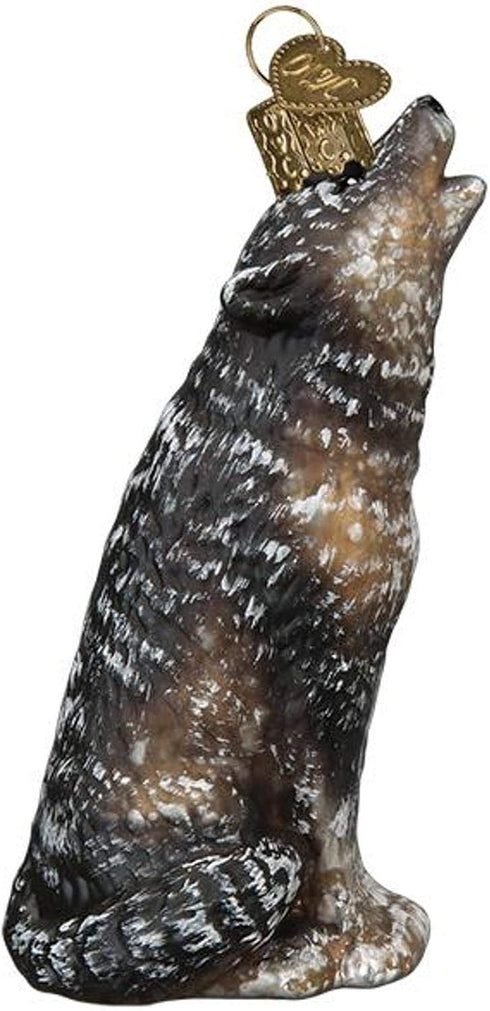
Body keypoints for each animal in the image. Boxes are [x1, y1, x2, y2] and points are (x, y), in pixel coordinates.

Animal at [4, 97, 485, 1002]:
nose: (431, 101)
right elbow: (330, 829)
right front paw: (359, 935)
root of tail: (31, 894)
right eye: (349, 178)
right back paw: (276, 960)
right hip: (221, 820)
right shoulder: (316, 680)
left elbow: (343, 823)